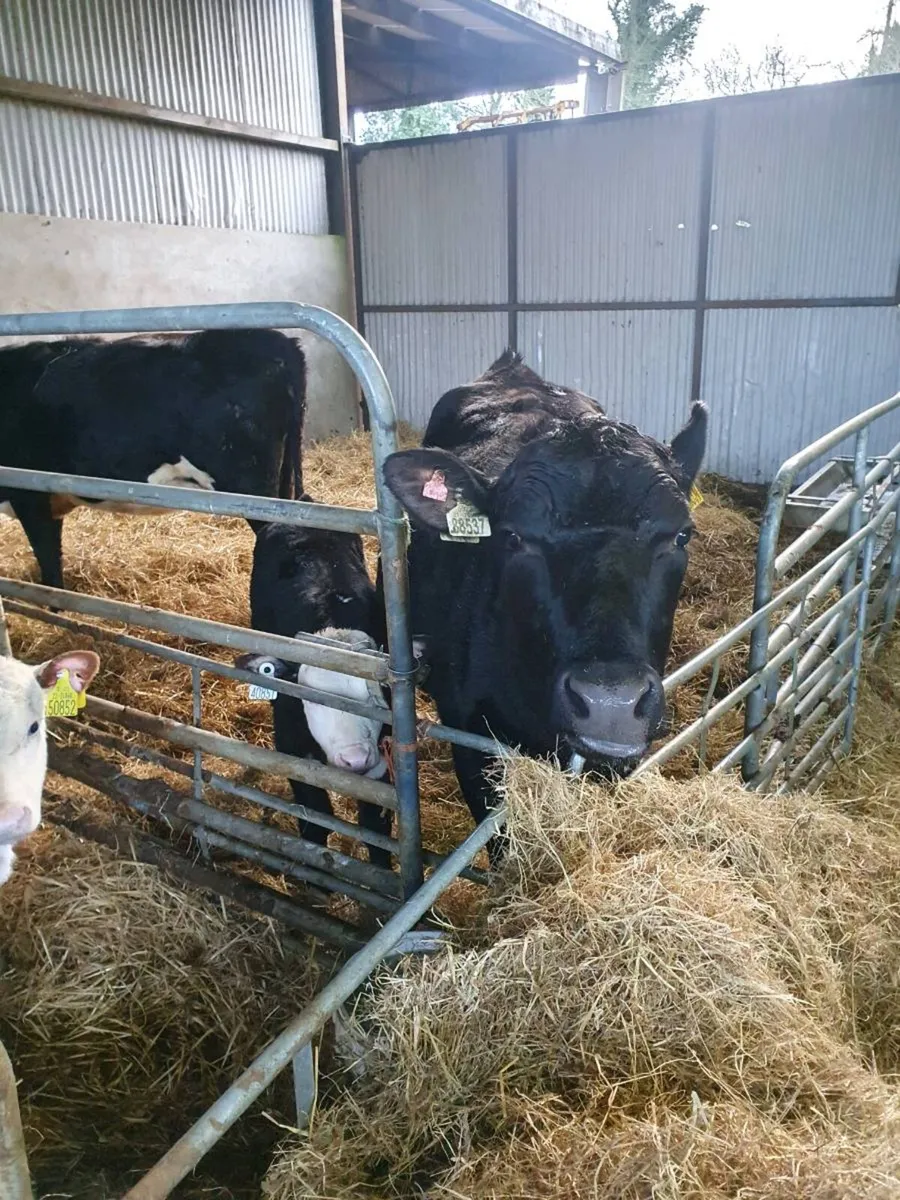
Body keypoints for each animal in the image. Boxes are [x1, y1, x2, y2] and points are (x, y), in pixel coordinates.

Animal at [237, 518, 393, 869]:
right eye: (310, 700)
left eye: (377, 697)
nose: (355, 759)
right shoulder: (291, 748)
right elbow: (315, 820)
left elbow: (376, 828)